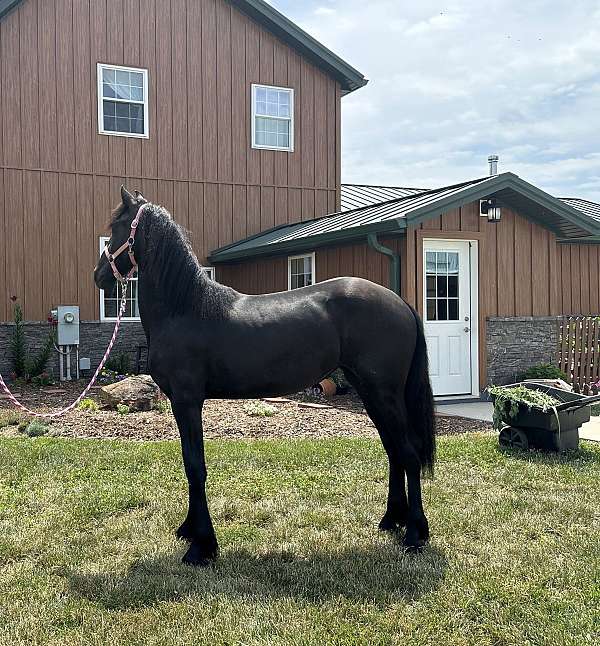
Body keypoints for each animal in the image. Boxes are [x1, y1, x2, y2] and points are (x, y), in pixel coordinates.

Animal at [94, 186, 435, 566]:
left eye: (117, 227)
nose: (99, 275)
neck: (185, 309)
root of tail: (401, 304)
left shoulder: (187, 400)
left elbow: (195, 466)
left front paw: (201, 546)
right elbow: (190, 464)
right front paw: (189, 532)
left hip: (383, 392)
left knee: (407, 453)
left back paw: (415, 534)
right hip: (370, 391)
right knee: (394, 451)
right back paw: (391, 520)